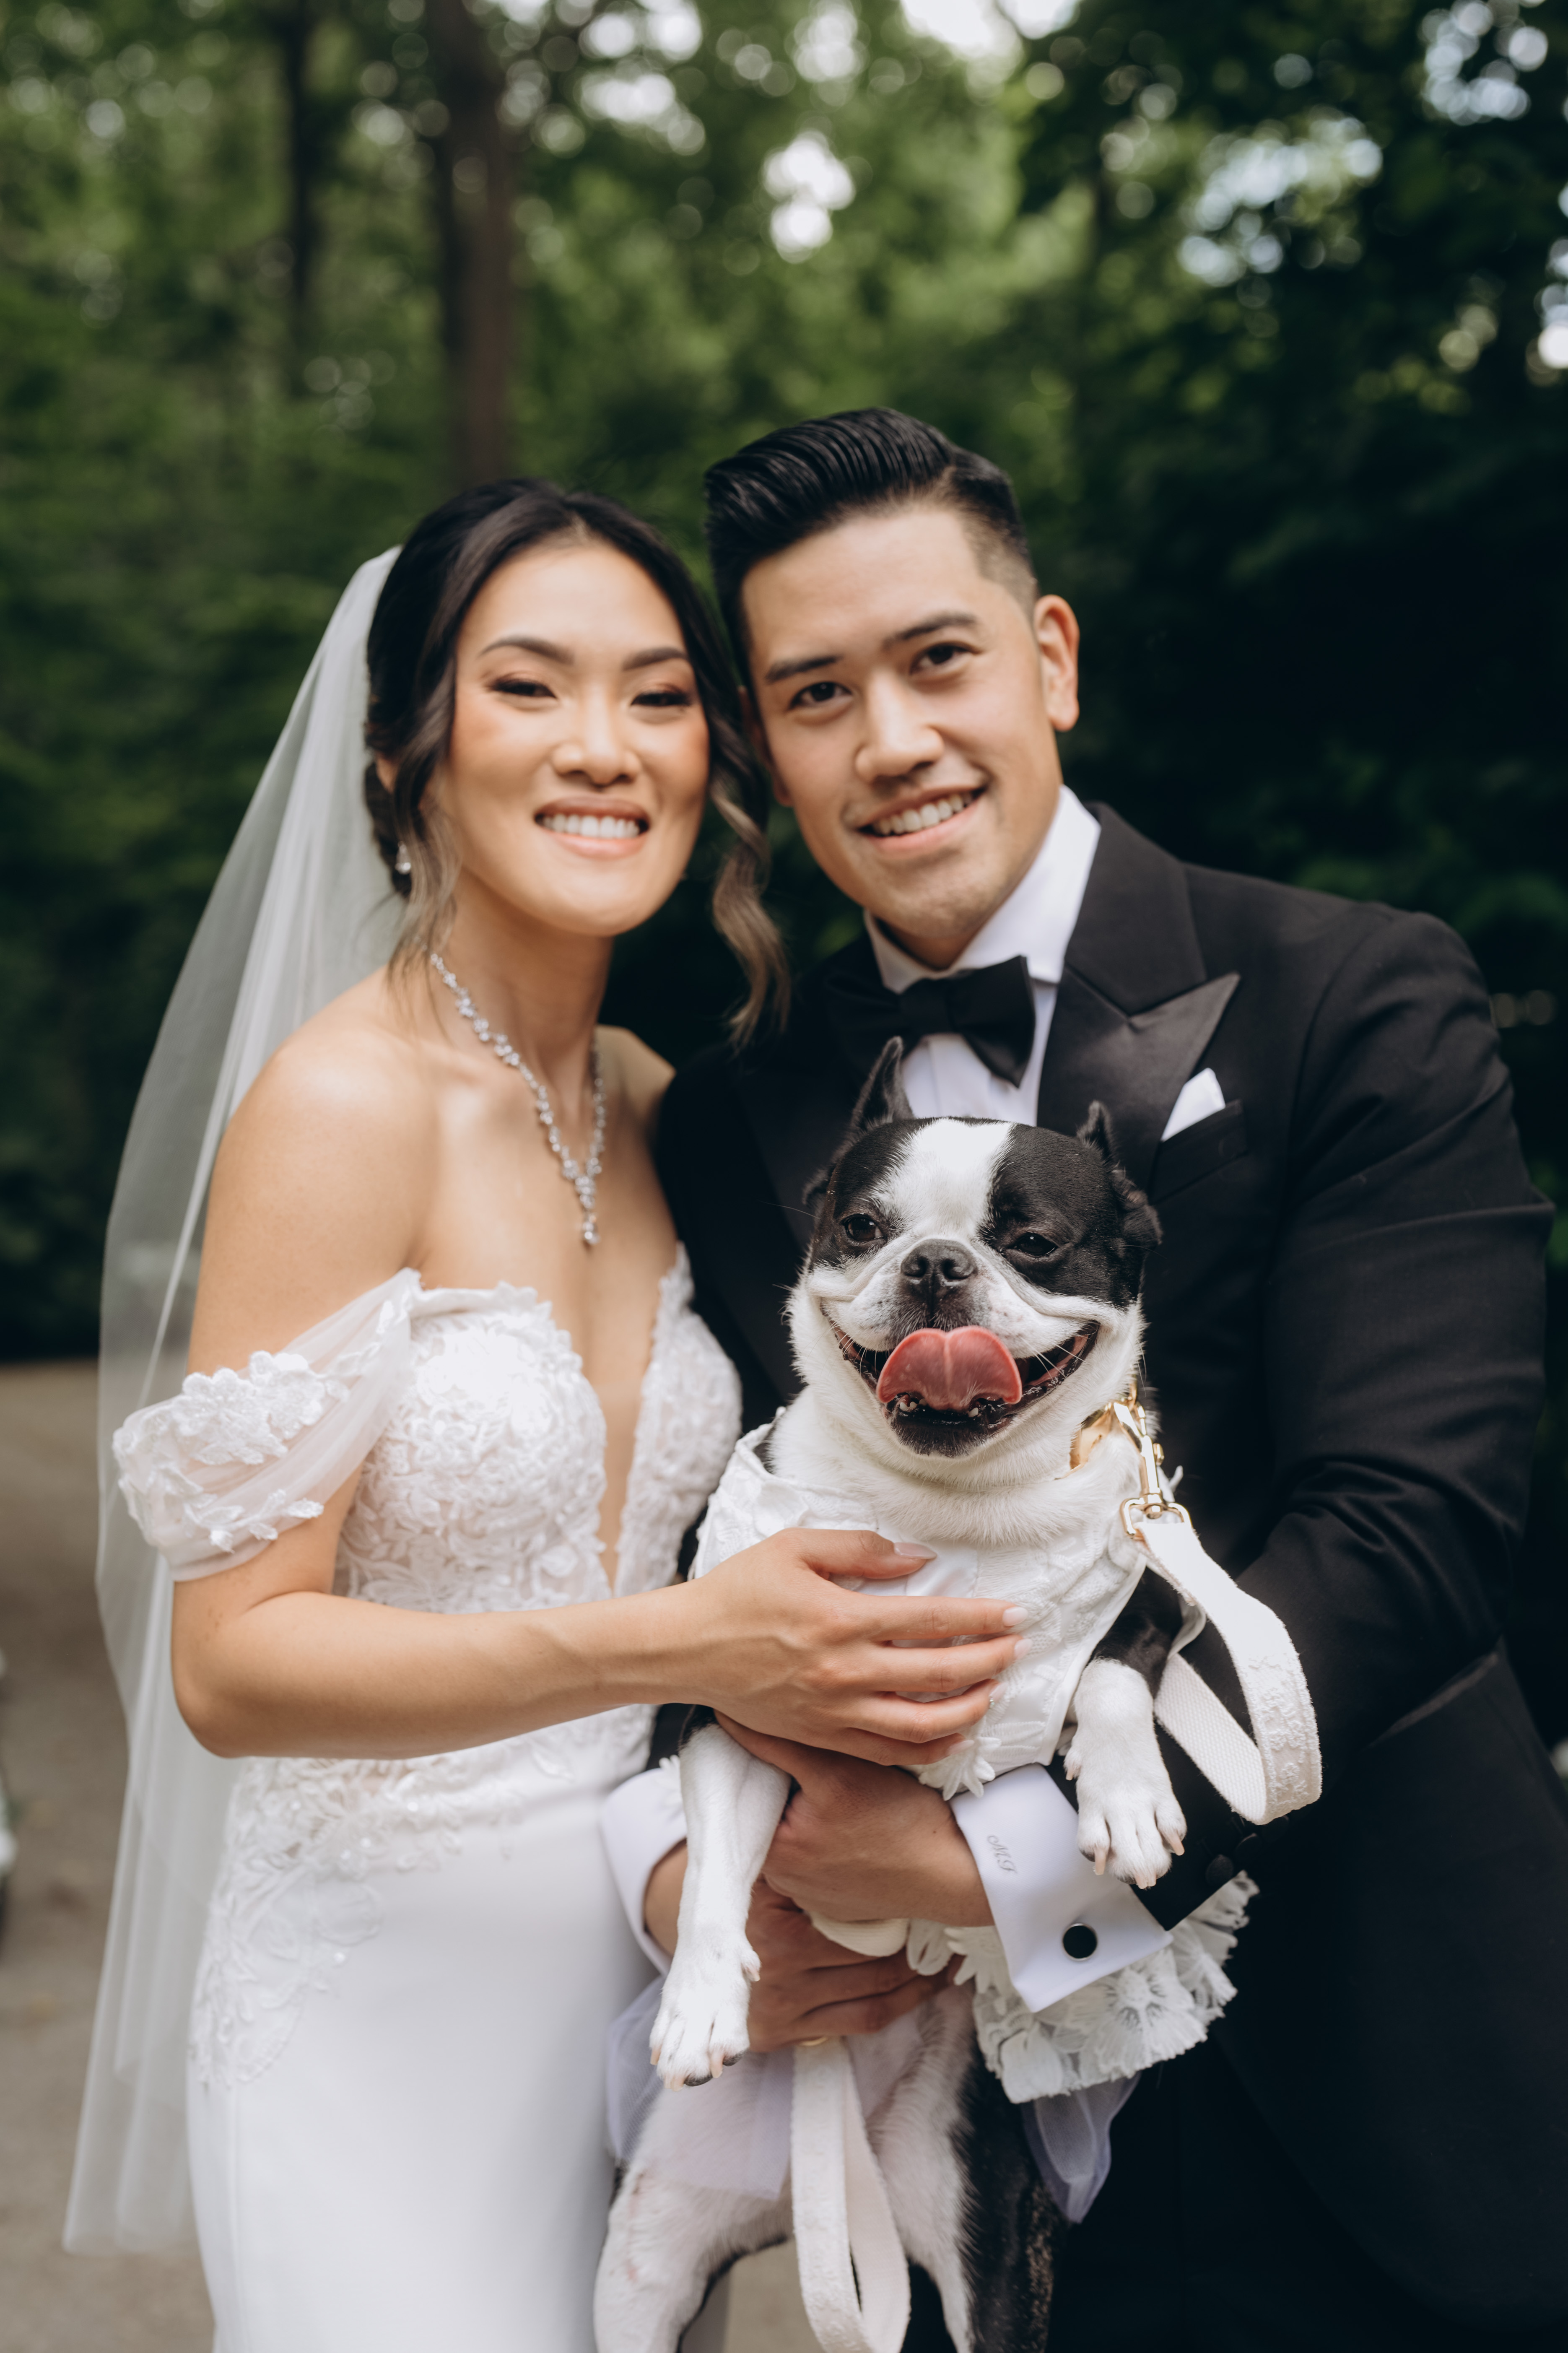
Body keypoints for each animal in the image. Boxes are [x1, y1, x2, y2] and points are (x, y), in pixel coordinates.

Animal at [595, 1046, 1255, 2353]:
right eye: (862, 1226)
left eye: (1035, 1242)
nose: (937, 1262)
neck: (947, 1515)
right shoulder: (731, 1713)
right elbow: (714, 1871)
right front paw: (700, 1998)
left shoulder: (1152, 1570)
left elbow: (1111, 1666)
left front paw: (1128, 1800)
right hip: (639, 2274)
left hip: (983, 2251)